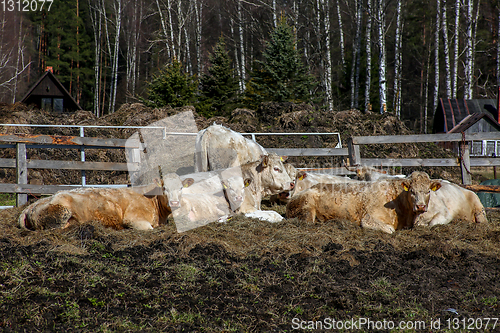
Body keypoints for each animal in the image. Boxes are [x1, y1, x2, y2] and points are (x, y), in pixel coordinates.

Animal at [18, 172, 192, 230]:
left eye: (181, 188)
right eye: (164, 188)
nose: (175, 203)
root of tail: (30, 207)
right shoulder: (134, 219)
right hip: (61, 211)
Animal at [288, 171, 486, 233]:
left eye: (428, 191)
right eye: (412, 191)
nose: (421, 206)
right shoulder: (369, 218)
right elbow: (390, 230)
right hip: (307, 210)